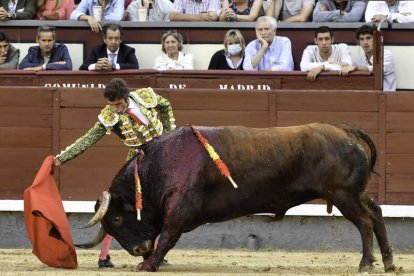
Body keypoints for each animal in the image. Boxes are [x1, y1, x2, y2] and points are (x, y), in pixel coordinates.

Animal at [78, 123, 398, 274]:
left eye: (117, 218)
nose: (136, 250)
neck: (159, 165)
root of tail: (346, 130)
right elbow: (163, 236)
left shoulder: (181, 208)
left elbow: (167, 236)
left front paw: (148, 265)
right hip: (355, 194)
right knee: (377, 213)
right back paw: (389, 262)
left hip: (343, 195)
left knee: (365, 222)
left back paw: (366, 264)